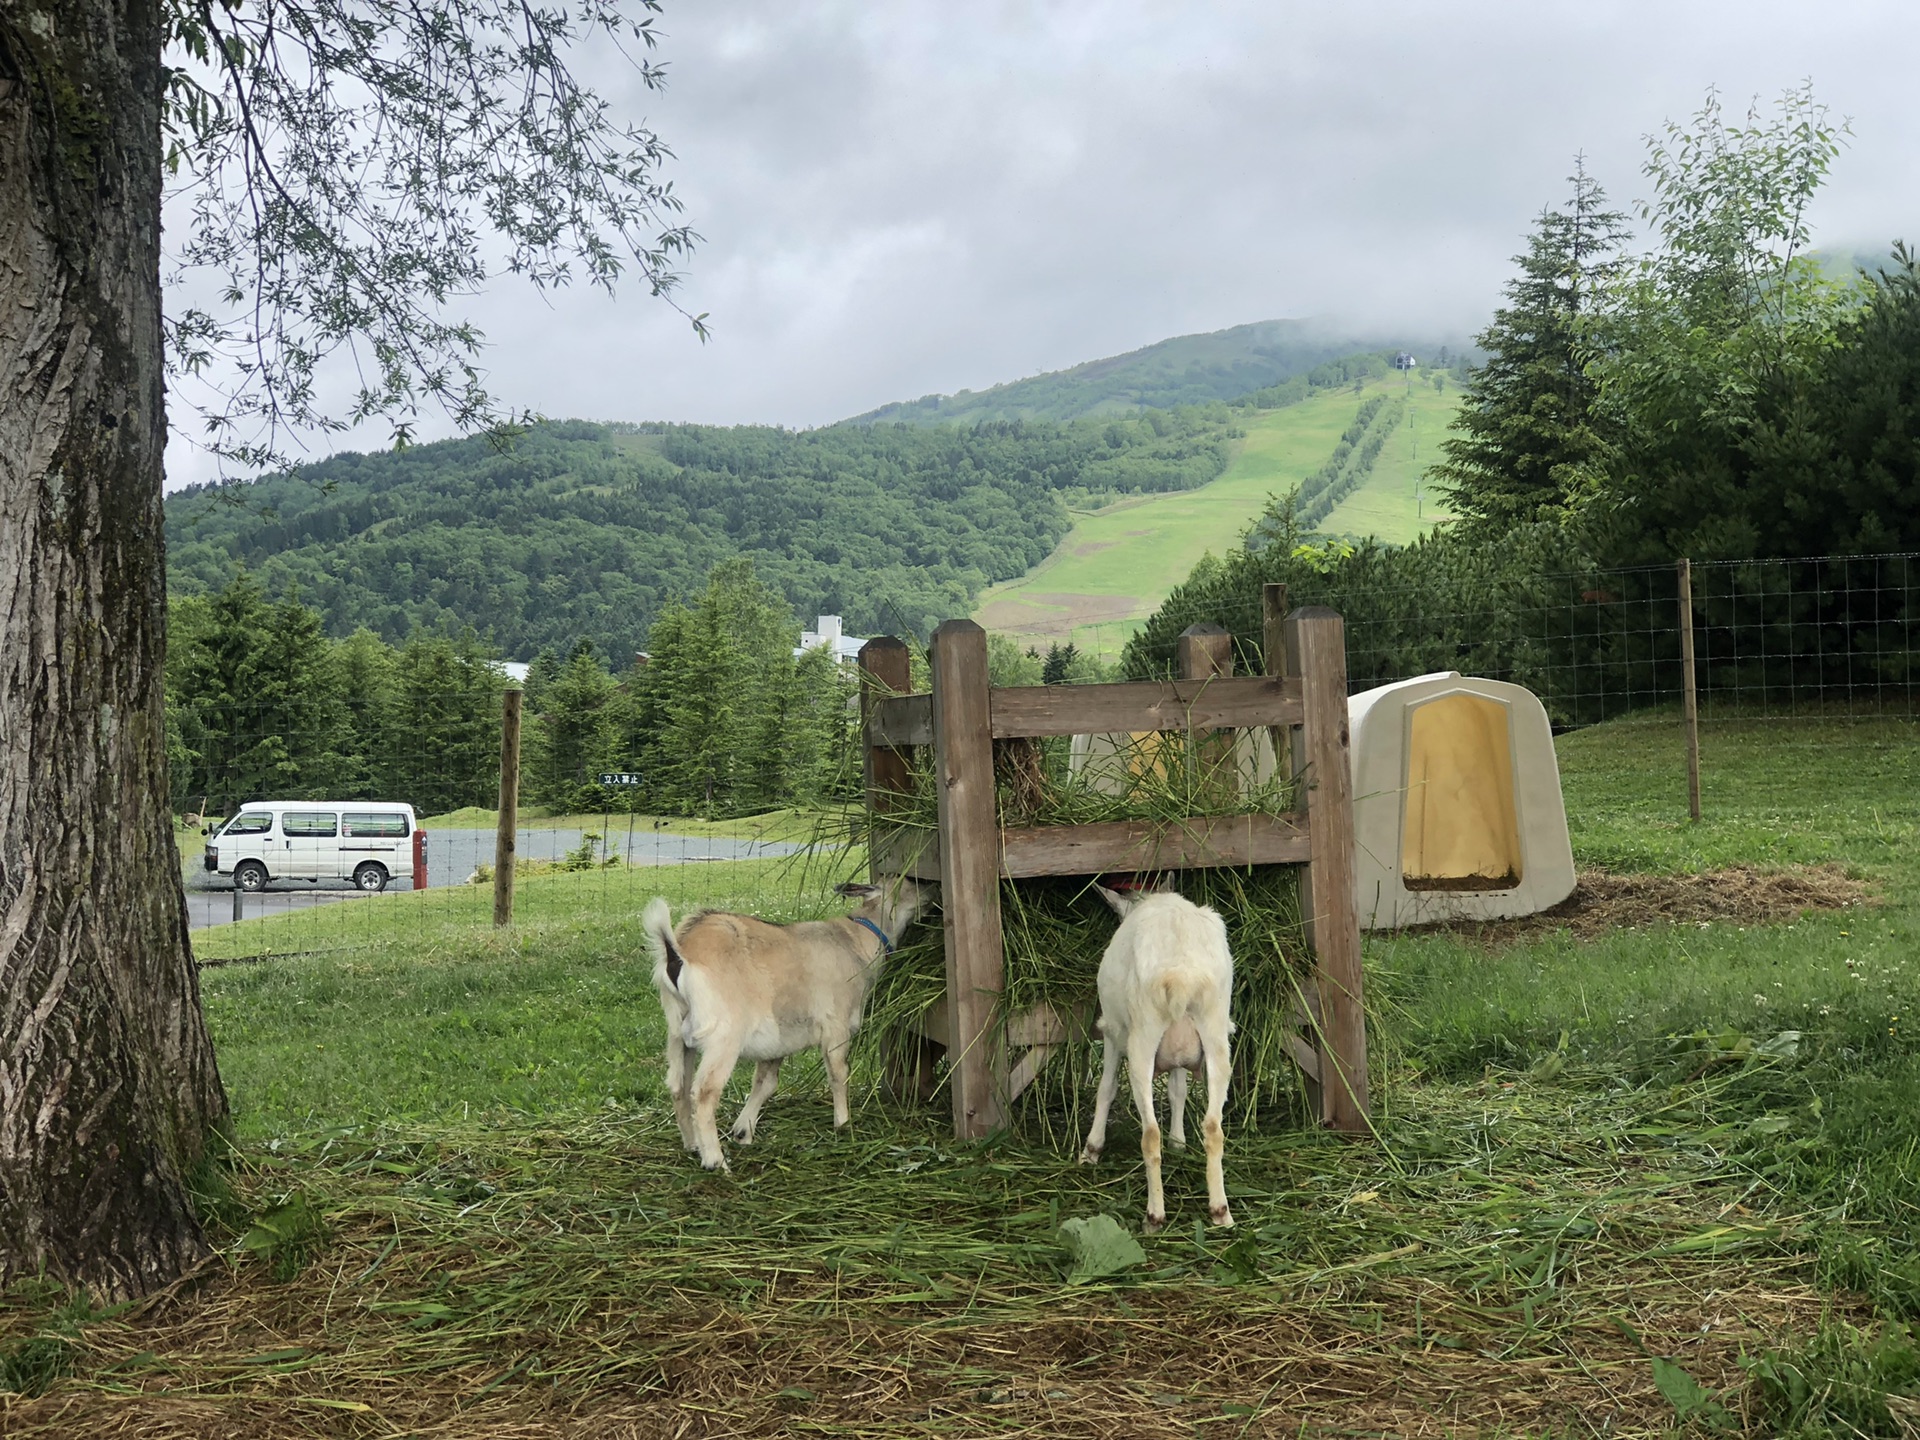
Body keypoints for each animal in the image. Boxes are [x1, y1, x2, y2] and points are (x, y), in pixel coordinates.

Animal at [641, 879, 925, 1175]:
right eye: (909, 884)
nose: (928, 895)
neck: (857, 940)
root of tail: (678, 956)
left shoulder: (779, 1040)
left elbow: (765, 1083)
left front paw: (743, 1131)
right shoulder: (835, 1026)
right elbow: (838, 1074)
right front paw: (843, 1124)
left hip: (678, 1035)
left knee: (678, 1087)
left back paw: (692, 1145)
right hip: (723, 1036)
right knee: (705, 1092)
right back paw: (715, 1160)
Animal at [1075, 887, 1236, 1236]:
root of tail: (1181, 974)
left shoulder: (1112, 1033)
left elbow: (1106, 1090)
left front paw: (1091, 1150)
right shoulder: (1178, 1056)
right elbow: (1178, 1092)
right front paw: (1179, 1142)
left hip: (1142, 1038)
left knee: (1149, 1134)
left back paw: (1155, 1216)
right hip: (1216, 1036)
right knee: (1213, 1128)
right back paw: (1220, 1211)